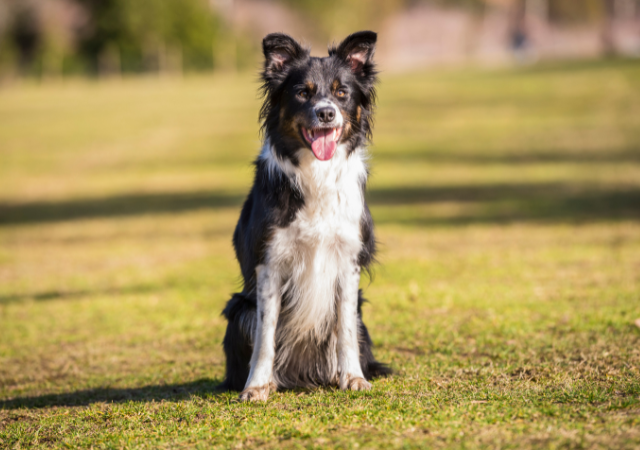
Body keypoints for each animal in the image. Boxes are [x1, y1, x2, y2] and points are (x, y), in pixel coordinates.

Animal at [220, 29, 390, 400]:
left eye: (341, 93)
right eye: (302, 93)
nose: (326, 113)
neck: (317, 172)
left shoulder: (348, 259)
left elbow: (344, 331)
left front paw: (353, 378)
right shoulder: (269, 262)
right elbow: (266, 335)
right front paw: (257, 386)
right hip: (239, 309)